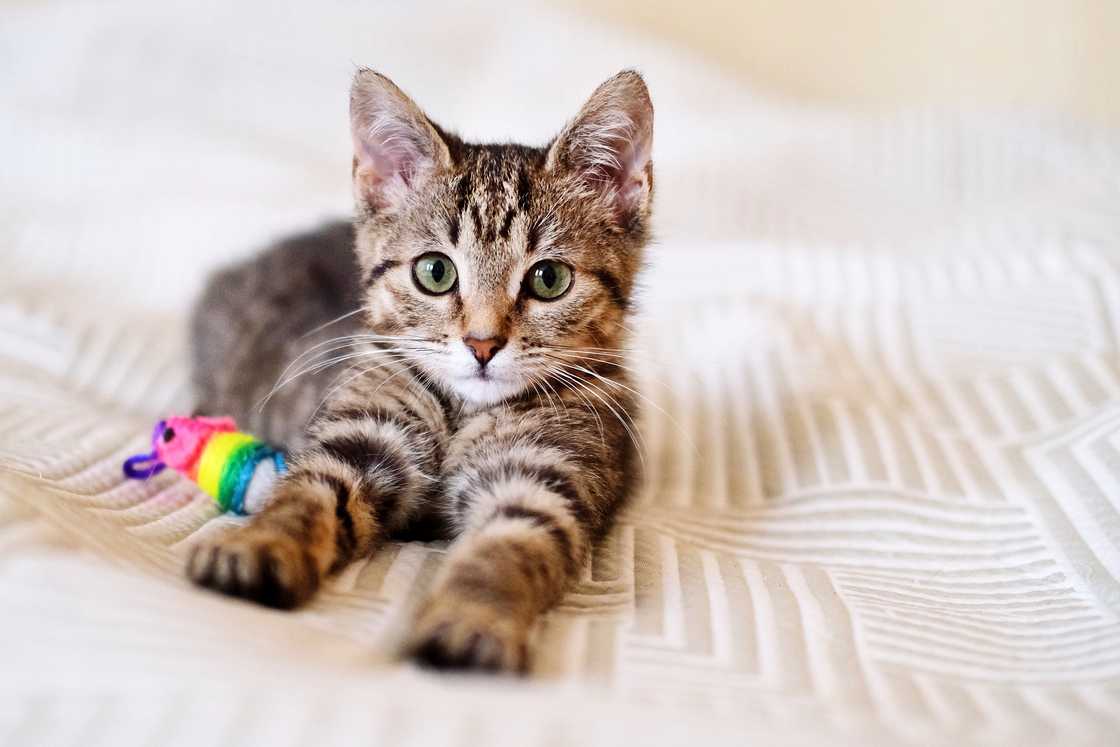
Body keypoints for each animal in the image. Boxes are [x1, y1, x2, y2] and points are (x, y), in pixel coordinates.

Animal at [187, 67, 654, 671]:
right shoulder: (363, 431)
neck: (463, 412)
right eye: (435, 272)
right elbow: (306, 493)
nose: (483, 344)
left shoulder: (546, 473)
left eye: (549, 279)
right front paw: (258, 544)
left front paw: (474, 618)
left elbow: (508, 548)